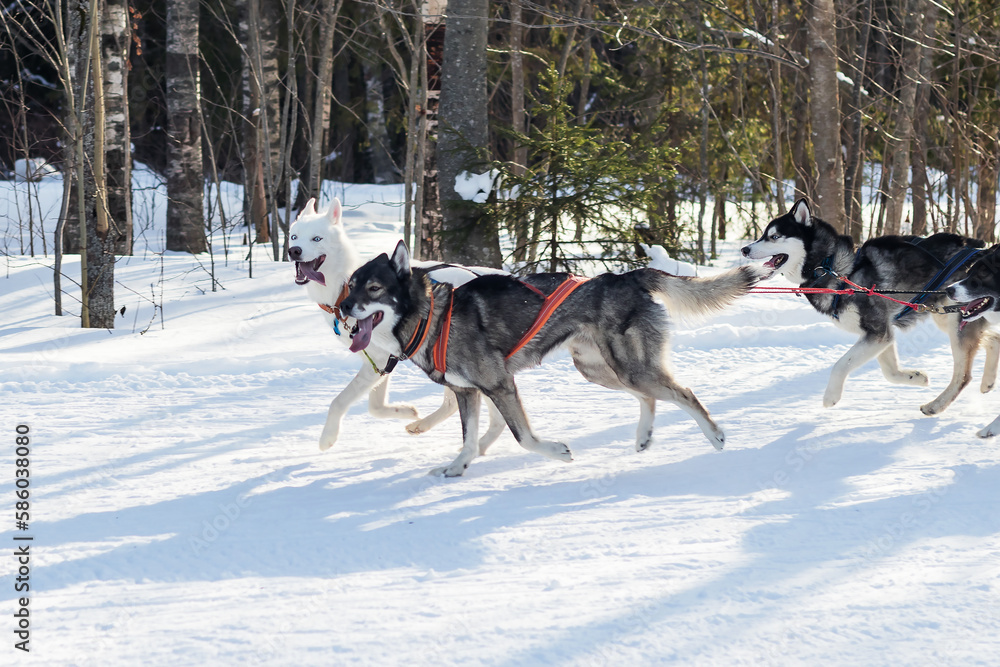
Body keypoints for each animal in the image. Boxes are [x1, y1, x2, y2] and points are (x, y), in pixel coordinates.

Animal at [290, 198, 508, 448]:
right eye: (294, 236)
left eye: (317, 238)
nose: (294, 251)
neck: (341, 287)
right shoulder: (379, 363)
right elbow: (375, 407)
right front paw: (405, 411)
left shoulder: (379, 361)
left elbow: (339, 401)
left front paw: (328, 437)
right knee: (454, 403)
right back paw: (421, 425)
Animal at [336, 243, 764, 478]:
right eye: (350, 285)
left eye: (373, 288)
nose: (342, 308)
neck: (432, 317)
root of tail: (626, 276)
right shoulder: (468, 393)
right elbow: (470, 440)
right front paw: (457, 468)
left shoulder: (499, 386)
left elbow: (523, 437)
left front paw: (558, 451)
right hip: (600, 371)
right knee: (650, 397)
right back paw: (644, 437)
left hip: (629, 369)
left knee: (684, 392)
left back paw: (714, 436)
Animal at [740, 198, 996, 412]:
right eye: (763, 234)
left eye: (774, 237)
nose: (744, 249)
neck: (835, 269)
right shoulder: (882, 334)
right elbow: (890, 372)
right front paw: (915, 376)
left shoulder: (877, 333)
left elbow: (840, 365)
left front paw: (831, 396)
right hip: (949, 316)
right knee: (993, 338)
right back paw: (988, 382)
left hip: (956, 320)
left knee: (963, 376)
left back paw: (936, 405)